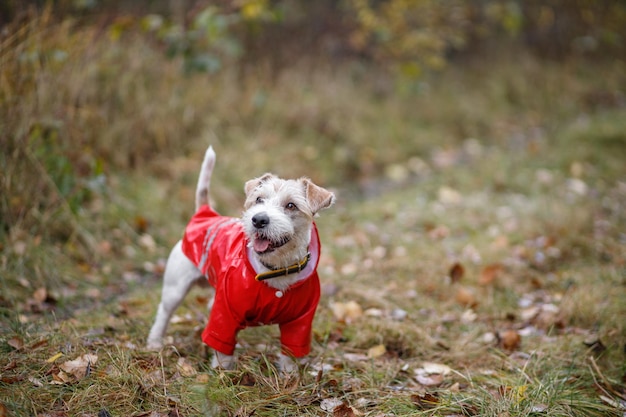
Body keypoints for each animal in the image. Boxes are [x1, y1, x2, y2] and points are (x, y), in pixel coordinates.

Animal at [147, 145, 334, 370]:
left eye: (291, 205)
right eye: (259, 199)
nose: (258, 219)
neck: (275, 270)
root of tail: (205, 213)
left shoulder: (300, 322)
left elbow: (290, 351)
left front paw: (289, 374)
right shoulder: (225, 313)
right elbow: (221, 344)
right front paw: (221, 372)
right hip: (175, 288)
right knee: (164, 313)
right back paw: (155, 342)